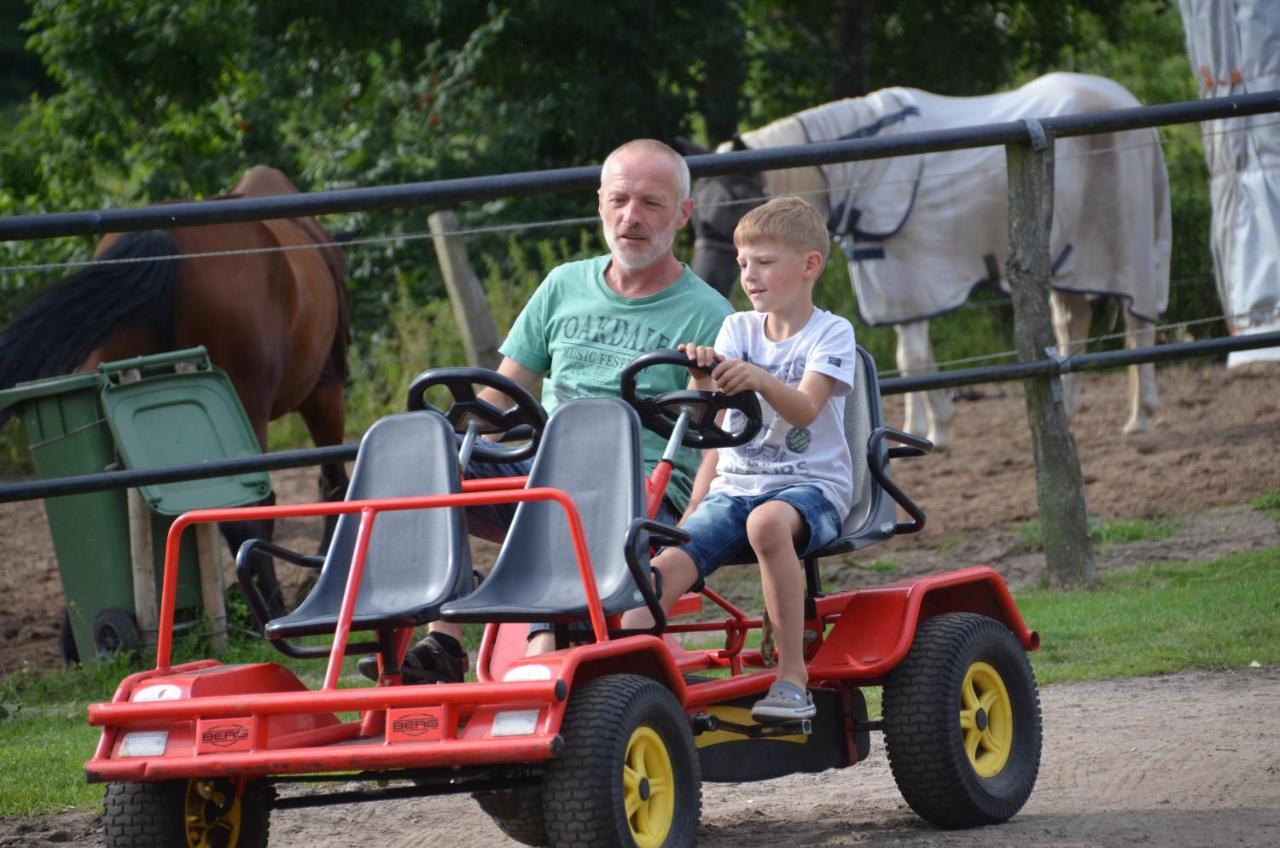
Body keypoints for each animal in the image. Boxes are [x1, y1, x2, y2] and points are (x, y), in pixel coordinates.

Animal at [0, 166, 353, 617]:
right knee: (253, 509)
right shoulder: (324, 392)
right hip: (248, 409)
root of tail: (164, 240)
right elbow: (333, 482)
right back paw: (268, 607)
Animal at [686, 71, 1172, 450]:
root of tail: (1127, 104)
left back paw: (1141, 416)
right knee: (1073, 327)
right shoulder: (891, 279)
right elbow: (908, 358)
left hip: (1127, 248)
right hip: (1069, 260)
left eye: (734, 207)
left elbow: (916, 359)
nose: (706, 277)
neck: (862, 170)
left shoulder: (909, 275)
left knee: (1137, 324)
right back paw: (1069, 409)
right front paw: (916, 425)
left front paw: (936, 429)